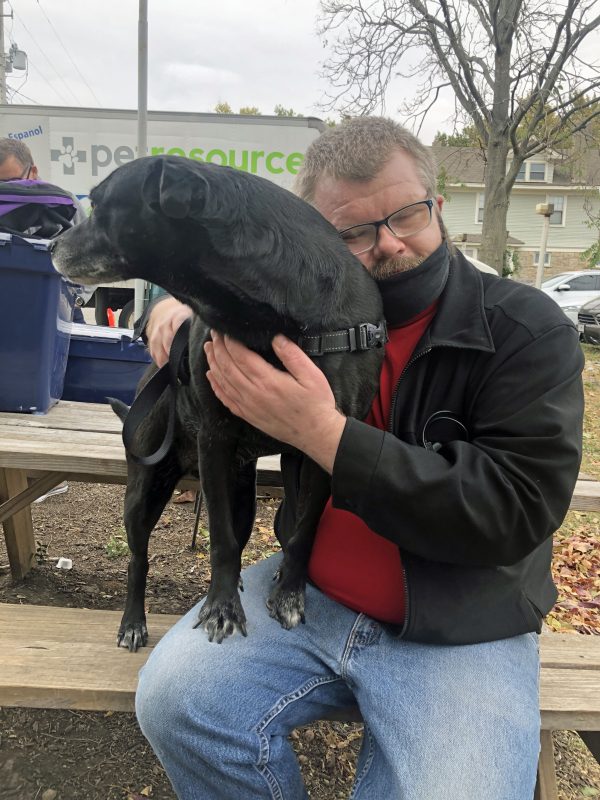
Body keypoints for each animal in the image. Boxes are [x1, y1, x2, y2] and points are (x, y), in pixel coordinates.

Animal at [54, 155, 386, 648]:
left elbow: (302, 531)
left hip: (242, 492)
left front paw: (289, 594)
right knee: (138, 559)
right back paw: (133, 621)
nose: (51, 244)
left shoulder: (324, 447)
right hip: (144, 491)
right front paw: (222, 607)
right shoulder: (215, 439)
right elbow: (222, 541)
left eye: (98, 203)